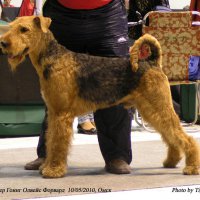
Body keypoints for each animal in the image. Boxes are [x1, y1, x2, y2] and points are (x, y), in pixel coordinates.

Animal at [0, 16, 199, 178]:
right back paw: (171, 162)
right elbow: (51, 141)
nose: (3, 43)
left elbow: (57, 144)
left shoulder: (62, 115)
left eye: (24, 29)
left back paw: (191, 167)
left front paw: (53, 170)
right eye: (11, 27)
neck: (54, 59)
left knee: (185, 138)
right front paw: (47, 166)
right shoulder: (54, 113)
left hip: (158, 107)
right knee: (171, 136)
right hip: (151, 111)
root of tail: (152, 62)